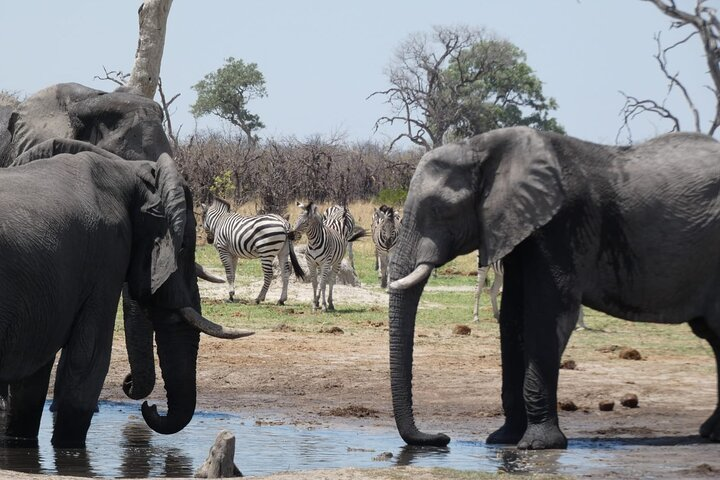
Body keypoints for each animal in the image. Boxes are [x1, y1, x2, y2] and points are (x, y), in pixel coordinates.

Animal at [0, 142, 253, 446]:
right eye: (183, 248)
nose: (149, 406)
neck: (129, 173)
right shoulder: (107, 255)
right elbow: (89, 360)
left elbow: (31, 380)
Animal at [388, 126, 720, 450]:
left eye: (439, 209)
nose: (442, 438)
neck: (485, 146)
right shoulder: (518, 226)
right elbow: (513, 319)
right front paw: (504, 439)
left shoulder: (560, 225)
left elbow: (546, 315)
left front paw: (537, 444)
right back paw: (710, 432)